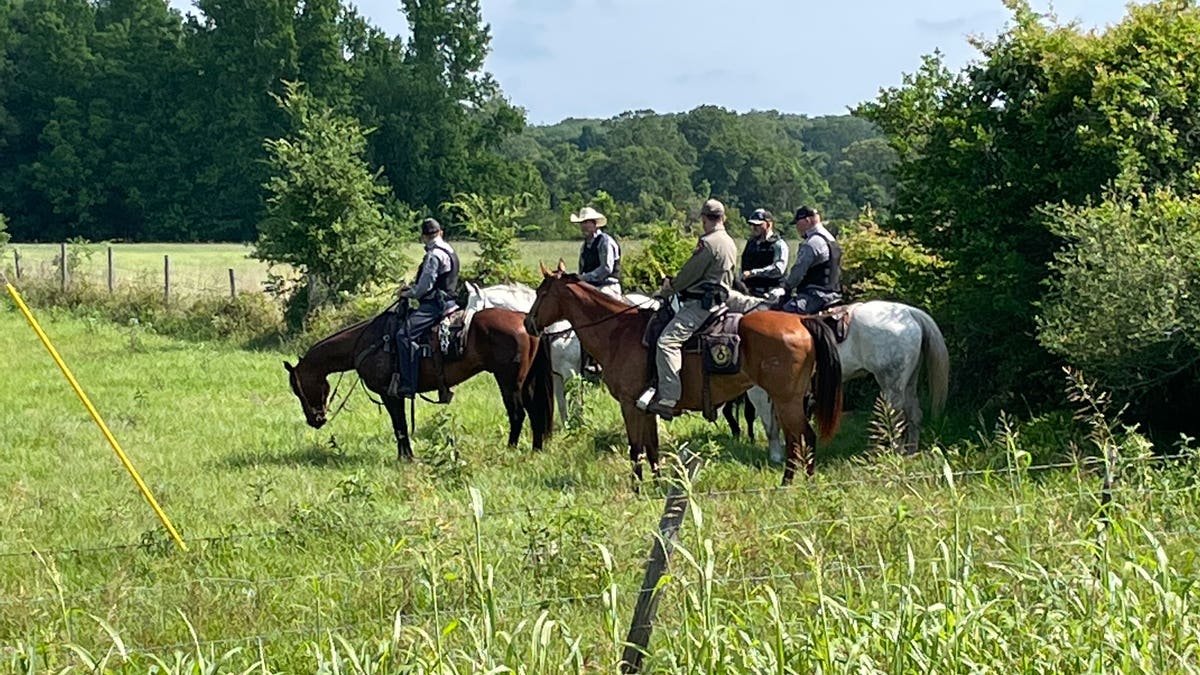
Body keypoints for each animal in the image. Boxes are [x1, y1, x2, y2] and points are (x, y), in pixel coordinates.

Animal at [283, 306, 554, 456]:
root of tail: (524, 319)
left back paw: (510, 449)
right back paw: (536, 449)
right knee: (535, 410)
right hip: (527, 381)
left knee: (517, 413)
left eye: (297, 389)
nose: (315, 420)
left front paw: (405, 457)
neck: (369, 342)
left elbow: (400, 426)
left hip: (508, 381)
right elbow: (400, 425)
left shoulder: (390, 394)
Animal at [525, 263, 844, 482]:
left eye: (542, 292)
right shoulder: (646, 407)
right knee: (800, 439)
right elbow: (652, 447)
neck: (618, 332)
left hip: (785, 400)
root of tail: (801, 321)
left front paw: (637, 488)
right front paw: (656, 484)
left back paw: (792, 484)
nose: (528, 323)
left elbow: (635, 448)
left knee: (801, 439)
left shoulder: (630, 405)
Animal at [744, 300, 950, 461]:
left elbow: (770, 425)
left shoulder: (759, 392)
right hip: (908, 382)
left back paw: (896, 452)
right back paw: (910, 452)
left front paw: (775, 457)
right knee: (914, 414)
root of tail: (909, 313)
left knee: (895, 417)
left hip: (891, 383)